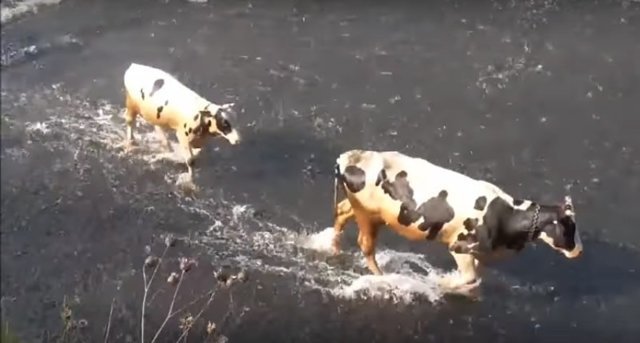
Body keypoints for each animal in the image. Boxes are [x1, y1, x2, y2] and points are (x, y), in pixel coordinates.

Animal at [332, 150, 584, 292]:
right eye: (569, 227)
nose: (580, 250)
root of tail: (351, 156)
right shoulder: (460, 246)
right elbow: (469, 277)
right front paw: (442, 283)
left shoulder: (477, 252)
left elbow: (474, 279)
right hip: (367, 215)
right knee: (365, 245)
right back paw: (384, 278)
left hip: (363, 210)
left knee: (341, 211)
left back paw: (333, 248)